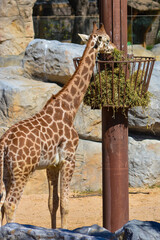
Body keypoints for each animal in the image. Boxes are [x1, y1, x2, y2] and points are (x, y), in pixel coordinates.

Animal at [0, 22, 115, 229]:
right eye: (107, 39)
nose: (115, 47)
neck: (70, 109)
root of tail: (4, 142)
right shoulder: (69, 159)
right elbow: (65, 204)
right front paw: (65, 230)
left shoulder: (51, 165)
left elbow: (52, 202)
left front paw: (54, 231)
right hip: (22, 170)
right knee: (10, 204)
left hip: (5, 170)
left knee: (1, 203)